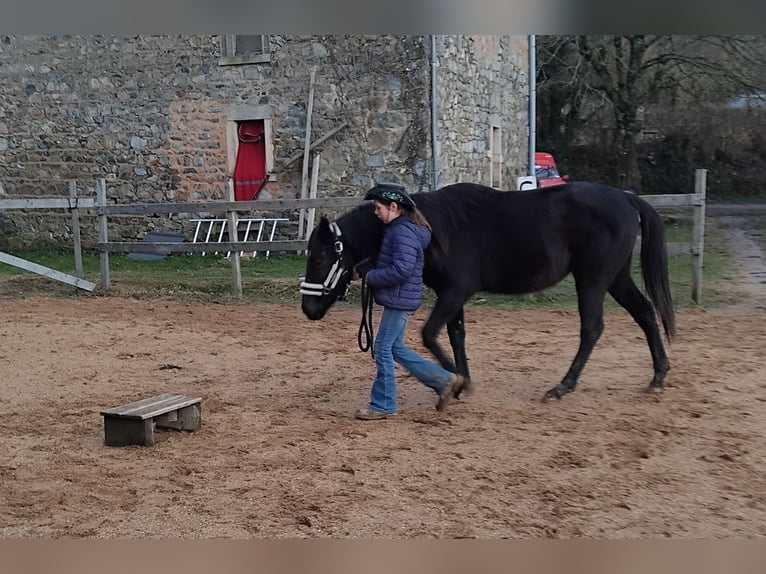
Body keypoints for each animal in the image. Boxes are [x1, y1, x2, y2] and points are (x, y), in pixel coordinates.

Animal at [300, 181, 676, 401]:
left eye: (319, 257)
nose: (308, 309)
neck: (432, 228)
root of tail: (625, 198)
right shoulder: (452, 295)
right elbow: (456, 334)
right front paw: (462, 379)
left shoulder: (457, 290)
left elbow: (429, 333)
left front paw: (457, 382)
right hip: (616, 277)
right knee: (644, 312)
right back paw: (658, 376)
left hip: (593, 280)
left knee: (592, 328)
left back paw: (562, 387)